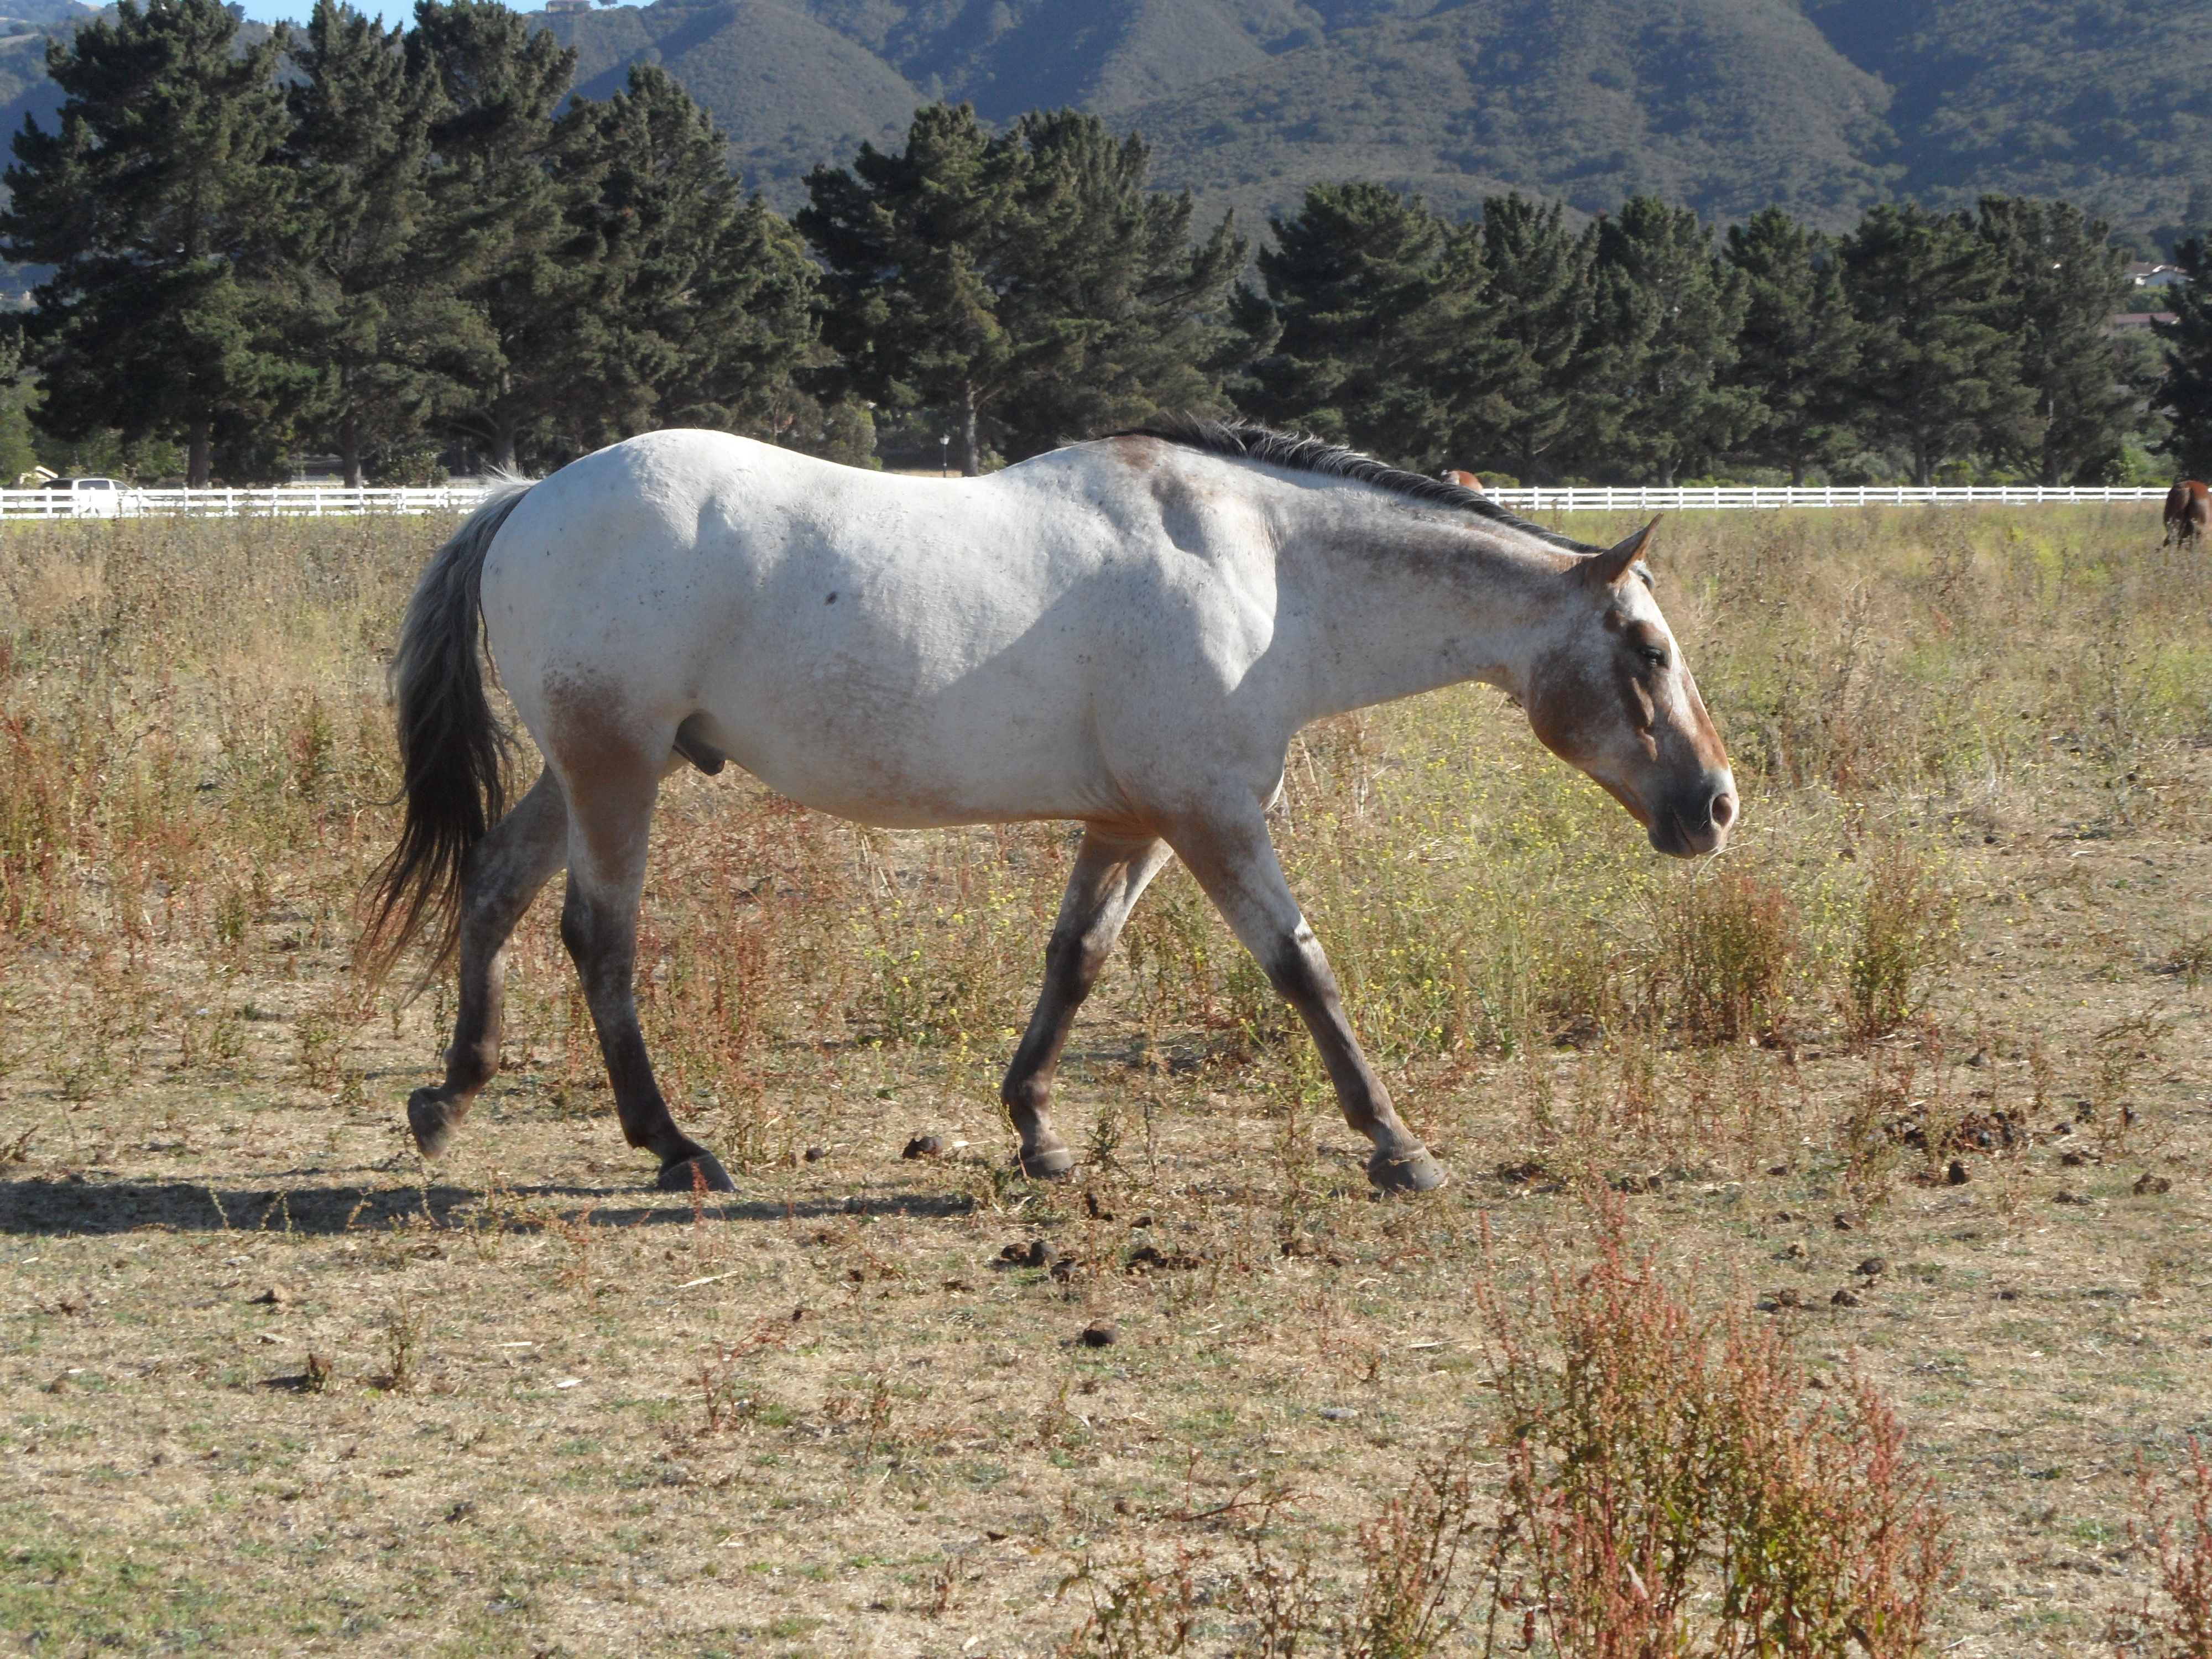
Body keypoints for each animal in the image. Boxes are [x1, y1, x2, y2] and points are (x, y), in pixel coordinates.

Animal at [372, 416, 1734, 1194]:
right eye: (1648, 651)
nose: (1715, 806)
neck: (1265, 572)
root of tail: (530, 497)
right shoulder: (1212, 818)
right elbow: (1304, 970)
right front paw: (1398, 1146)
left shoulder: (1132, 824)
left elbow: (1074, 964)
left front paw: (1036, 1134)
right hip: (615, 767)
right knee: (597, 938)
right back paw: (672, 1146)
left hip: (591, 768)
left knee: (494, 890)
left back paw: (449, 1099)